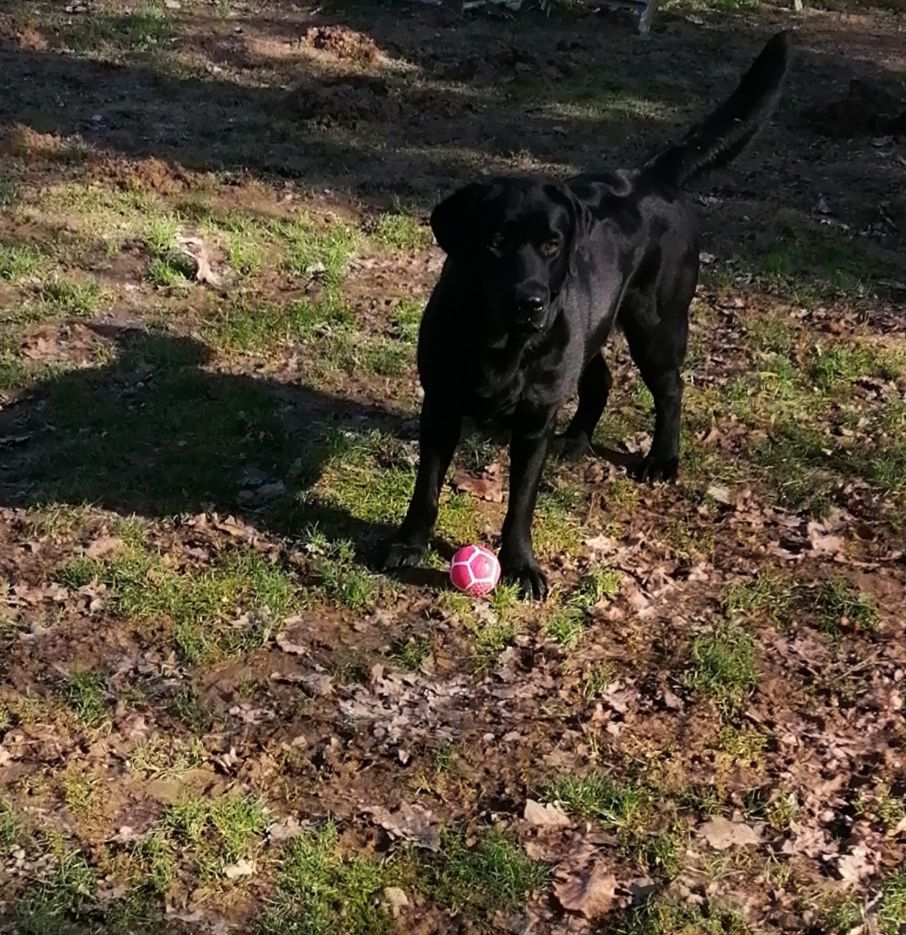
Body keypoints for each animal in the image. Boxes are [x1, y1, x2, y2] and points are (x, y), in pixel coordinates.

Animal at [384, 33, 788, 600]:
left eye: (552, 244)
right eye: (496, 242)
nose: (531, 301)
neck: (499, 339)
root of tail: (652, 174)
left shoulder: (534, 420)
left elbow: (520, 503)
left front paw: (521, 564)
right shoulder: (441, 402)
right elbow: (427, 483)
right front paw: (409, 541)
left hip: (655, 324)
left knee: (670, 387)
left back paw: (661, 459)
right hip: (592, 325)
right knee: (601, 377)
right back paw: (576, 440)